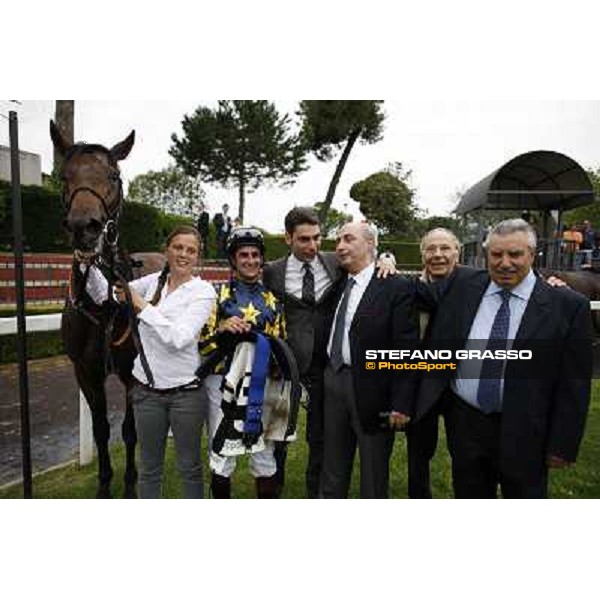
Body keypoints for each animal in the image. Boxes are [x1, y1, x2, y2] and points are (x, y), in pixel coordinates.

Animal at [50, 120, 163, 496]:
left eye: (113, 175)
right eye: (64, 175)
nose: (84, 226)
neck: (103, 307)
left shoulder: (132, 374)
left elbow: (129, 431)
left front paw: (129, 485)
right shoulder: (85, 372)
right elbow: (101, 430)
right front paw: (103, 484)